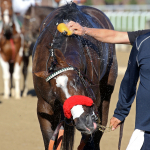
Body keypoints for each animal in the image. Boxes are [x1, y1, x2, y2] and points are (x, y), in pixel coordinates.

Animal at [32, 2, 118, 150]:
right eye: (55, 91)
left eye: (77, 81)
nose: (84, 122)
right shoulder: (44, 106)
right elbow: (50, 141)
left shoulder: (94, 105)